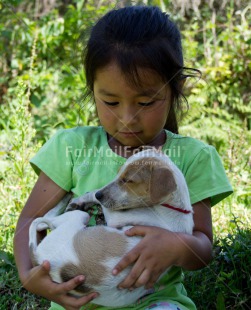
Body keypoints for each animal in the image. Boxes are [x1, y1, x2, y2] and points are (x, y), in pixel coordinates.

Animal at [29, 149, 194, 306]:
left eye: (129, 180)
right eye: (119, 172)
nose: (100, 194)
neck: (176, 208)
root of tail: (39, 257)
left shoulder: (114, 216)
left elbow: (93, 196)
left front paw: (83, 198)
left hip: (78, 218)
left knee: (44, 219)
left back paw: (65, 202)